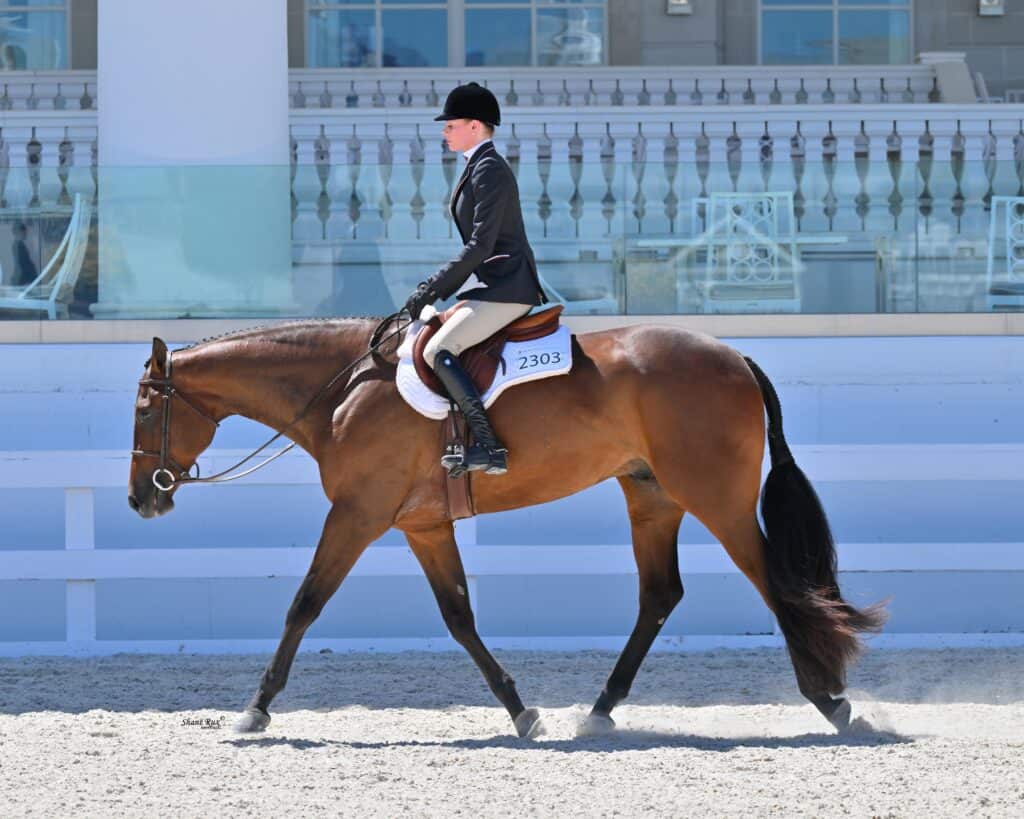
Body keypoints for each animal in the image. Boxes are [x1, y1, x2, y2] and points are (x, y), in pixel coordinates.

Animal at [128, 316, 885, 738]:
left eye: (144, 411)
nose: (141, 499)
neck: (342, 390)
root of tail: (734, 357)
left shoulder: (357, 514)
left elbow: (304, 603)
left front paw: (255, 709)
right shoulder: (423, 526)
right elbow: (459, 616)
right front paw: (521, 711)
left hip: (716, 497)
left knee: (776, 586)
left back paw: (831, 702)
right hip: (652, 495)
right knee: (660, 595)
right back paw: (600, 710)